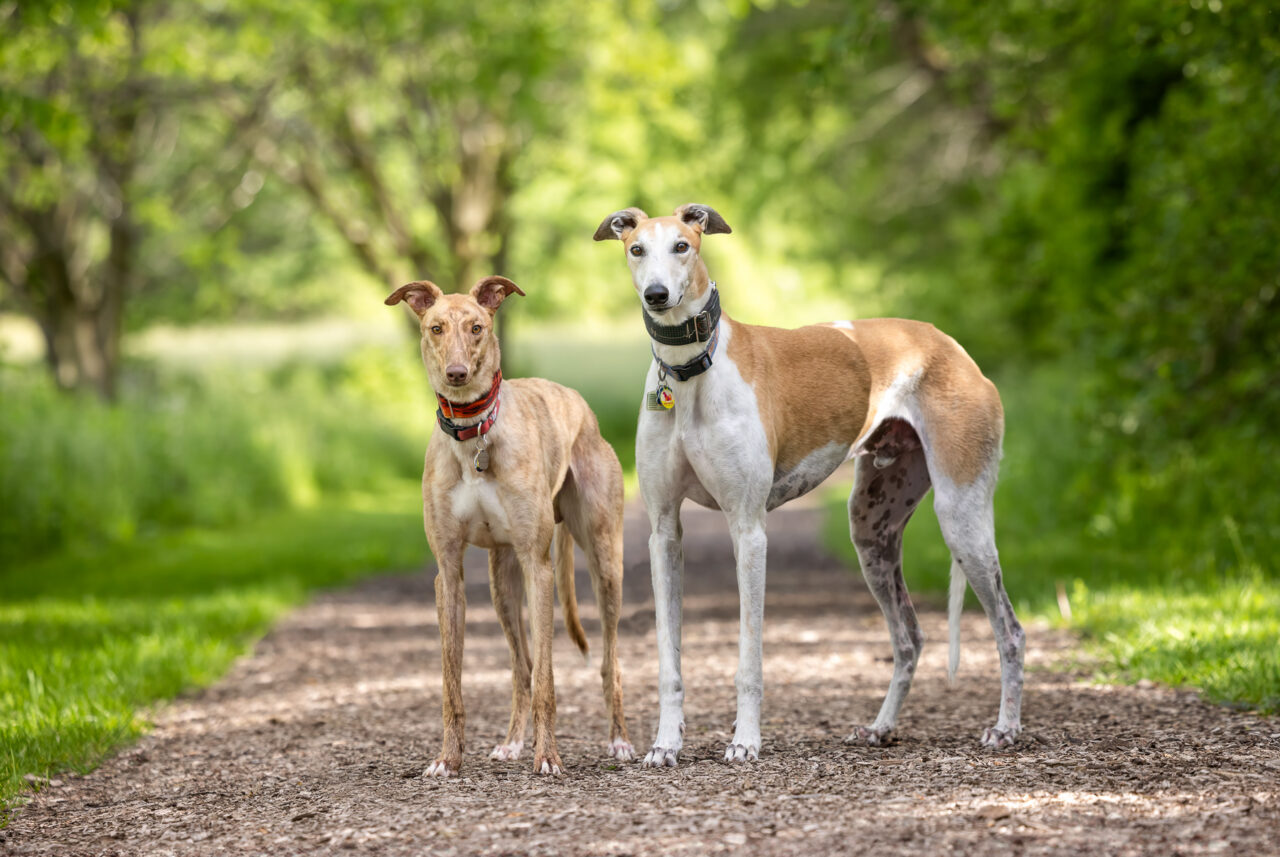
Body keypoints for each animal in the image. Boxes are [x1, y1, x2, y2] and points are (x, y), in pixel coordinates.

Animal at [384, 275, 634, 777]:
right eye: (436, 328)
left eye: (477, 327)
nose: (457, 374)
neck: (475, 433)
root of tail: (579, 403)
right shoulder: (449, 574)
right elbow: (453, 684)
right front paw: (448, 759)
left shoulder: (538, 566)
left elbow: (548, 681)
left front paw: (548, 758)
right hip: (503, 582)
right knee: (521, 666)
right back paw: (511, 742)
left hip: (604, 564)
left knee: (608, 660)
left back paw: (619, 740)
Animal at [593, 205, 1024, 767]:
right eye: (636, 249)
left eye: (683, 246)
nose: (657, 295)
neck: (691, 371)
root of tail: (951, 347)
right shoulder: (664, 532)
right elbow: (670, 660)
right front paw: (665, 745)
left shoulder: (748, 530)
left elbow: (750, 657)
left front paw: (745, 741)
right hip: (872, 531)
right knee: (909, 636)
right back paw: (881, 727)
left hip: (962, 518)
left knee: (1009, 631)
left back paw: (1006, 728)